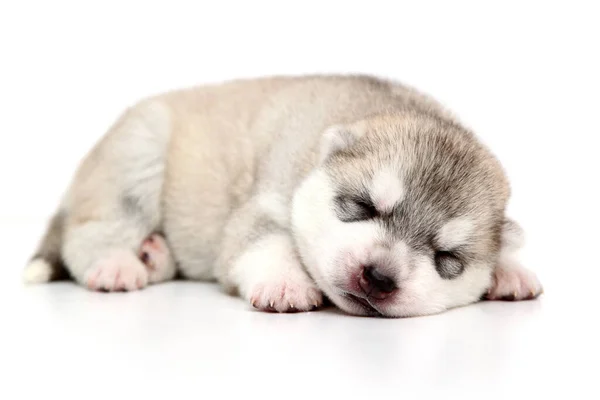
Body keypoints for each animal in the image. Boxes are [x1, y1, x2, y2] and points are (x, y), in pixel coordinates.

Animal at [22, 75, 544, 318]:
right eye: (361, 206)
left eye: (446, 258)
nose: (378, 276)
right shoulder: (265, 203)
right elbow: (266, 241)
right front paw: (285, 283)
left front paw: (510, 269)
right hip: (136, 151)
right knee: (92, 229)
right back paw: (117, 263)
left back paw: (154, 256)